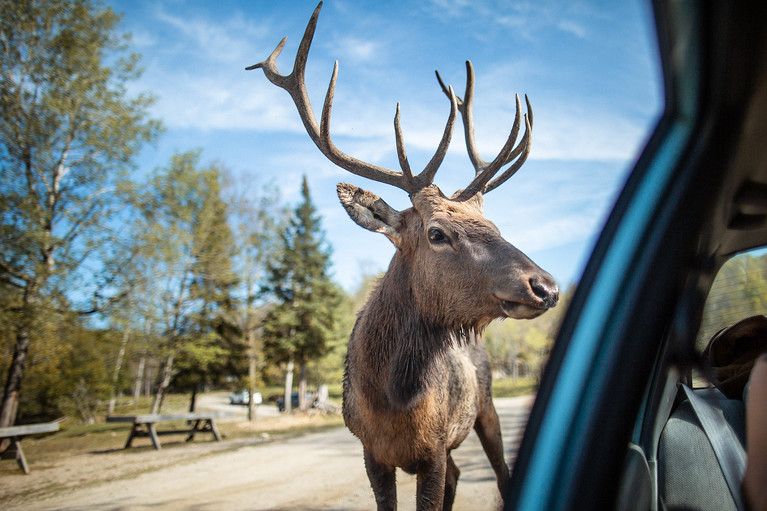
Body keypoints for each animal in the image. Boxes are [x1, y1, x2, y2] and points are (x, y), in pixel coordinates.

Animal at [249, 2, 560, 510]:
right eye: (437, 233)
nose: (546, 286)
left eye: (496, 227)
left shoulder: (432, 450)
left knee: (499, 474)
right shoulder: (371, 452)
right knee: (460, 475)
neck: (393, 401)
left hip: (486, 408)